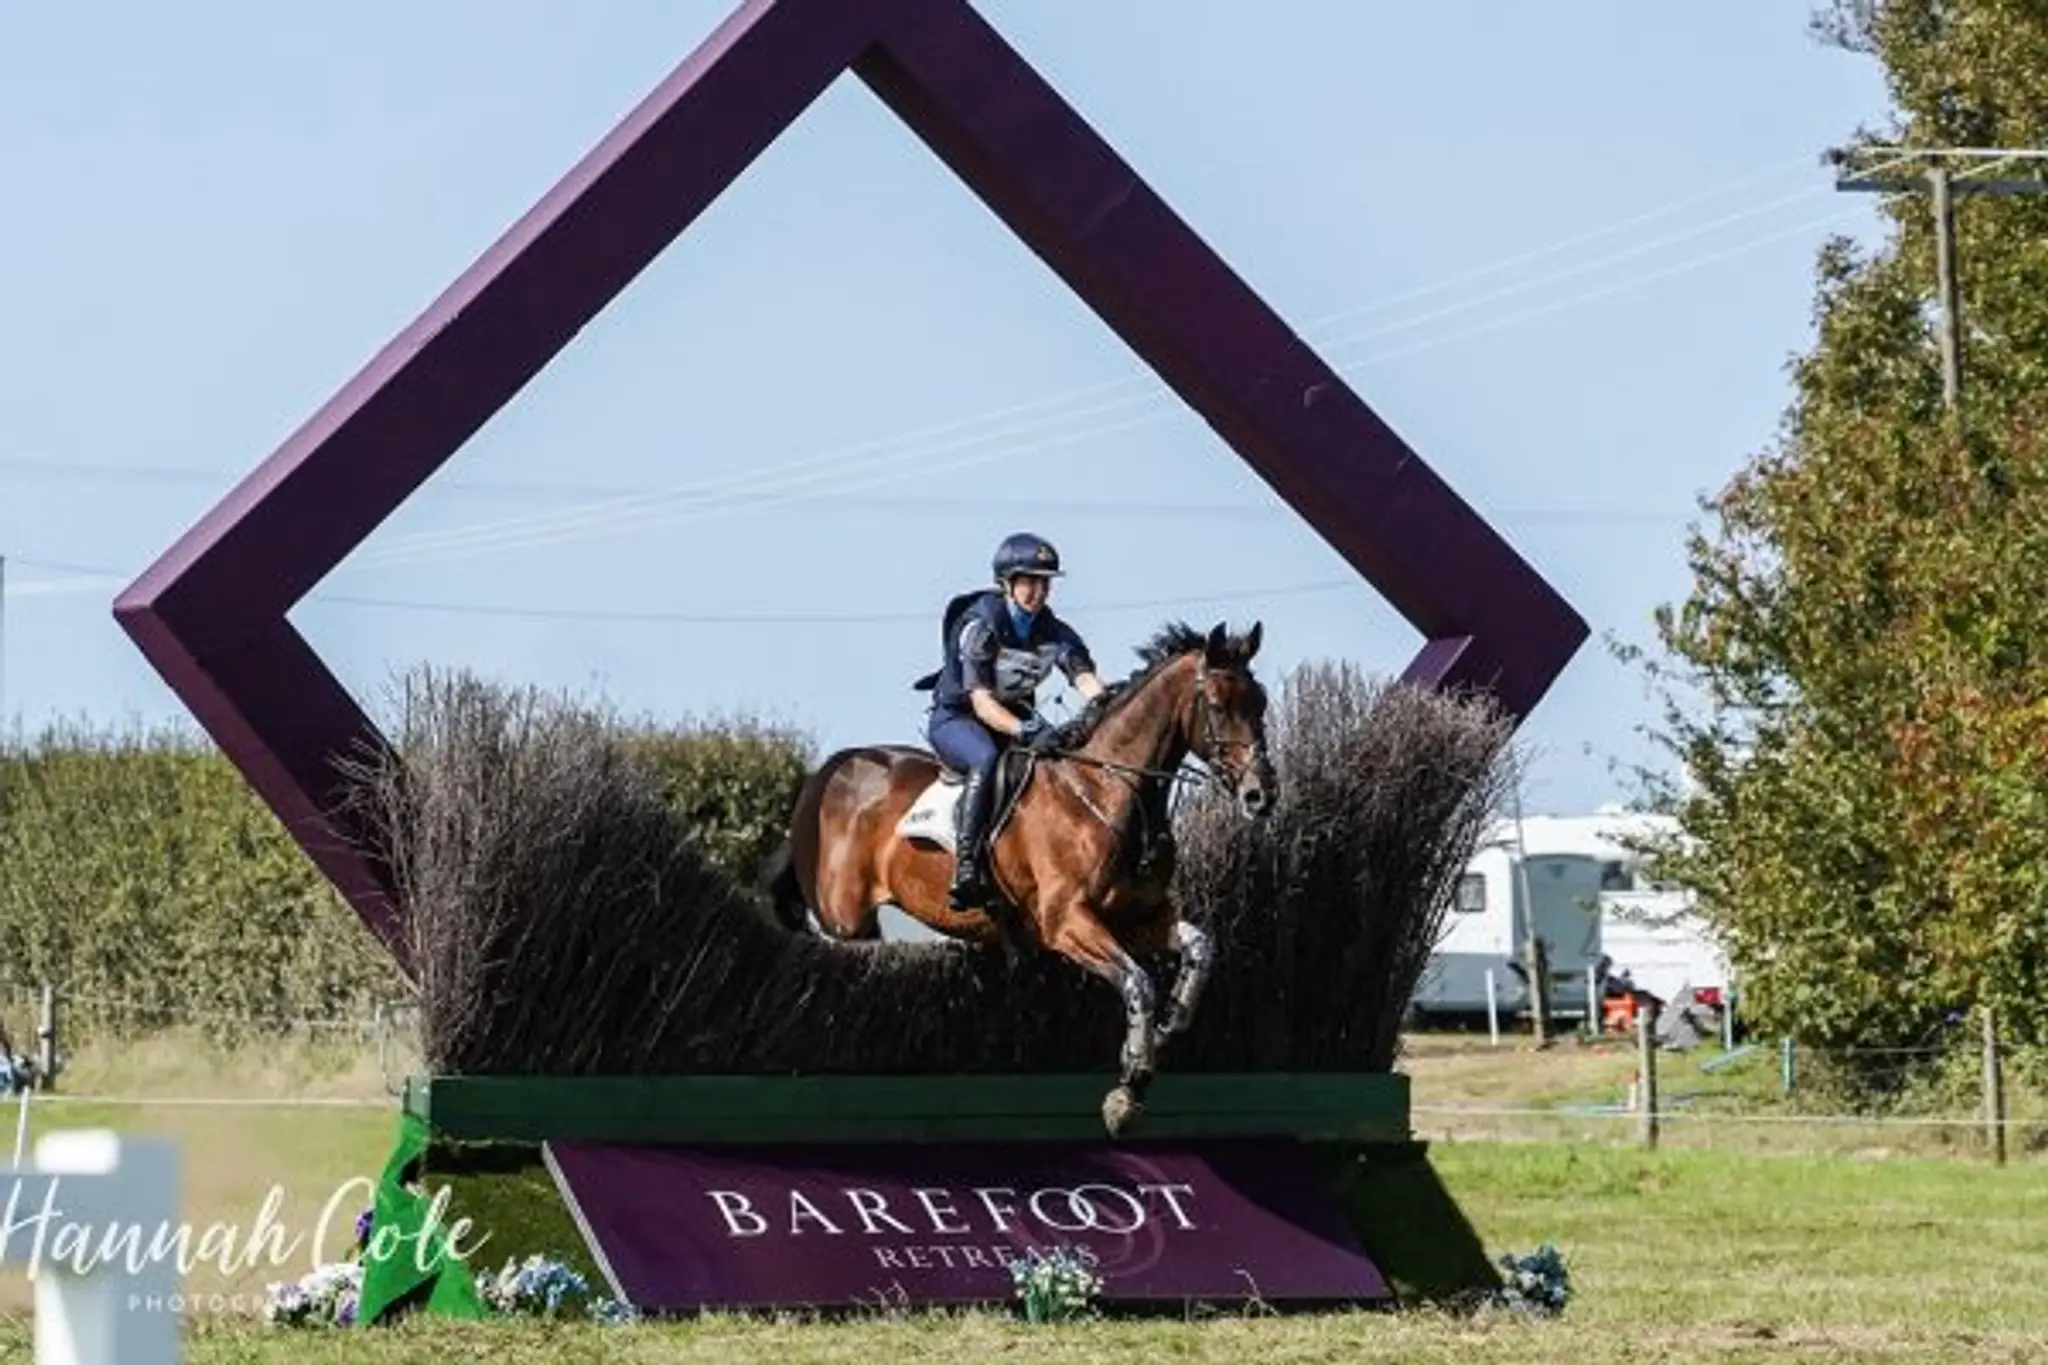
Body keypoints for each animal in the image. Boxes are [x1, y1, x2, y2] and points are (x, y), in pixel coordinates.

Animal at [762, 620, 1276, 1135]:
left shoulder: (1140, 918)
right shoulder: (1067, 922)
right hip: (844, 921)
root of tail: (823, 777)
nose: (1261, 795)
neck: (1106, 791)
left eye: (1261, 703)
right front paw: (1129, 1086)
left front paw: (1171, 1022)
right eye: (1217, 706)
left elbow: (1201, 948)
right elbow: (1138, 983)